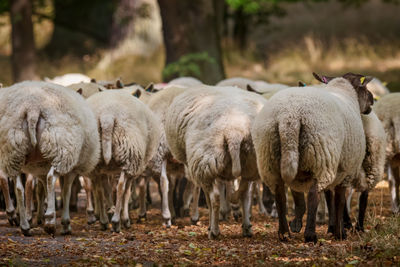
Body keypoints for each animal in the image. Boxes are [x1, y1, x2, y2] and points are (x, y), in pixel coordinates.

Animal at [0, 81, 99, 237]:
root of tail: (32, 108)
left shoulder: (41, 167)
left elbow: (45, 190)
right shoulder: (71, 168)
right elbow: (65, 191)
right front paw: (64, 223)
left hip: (13, 151)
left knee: (18, 187)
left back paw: (25, 225)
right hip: (61, 149)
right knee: (51, 179)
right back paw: (50, 223)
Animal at [86, 89, 162, 232]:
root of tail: (107, 116)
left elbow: (108, 190)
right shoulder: (133, 170)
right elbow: (126, 192)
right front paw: (124, 218)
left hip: (96, 162)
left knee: (98, 189)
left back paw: (104, 221)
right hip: (130, 155)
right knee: (121, 187)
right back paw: (116, 222)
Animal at [253, 73, 376, 243]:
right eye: (364, 87)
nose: (372, 100)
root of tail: (289, 117)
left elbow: (310, 198)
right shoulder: (345, 169)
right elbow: (339, 201)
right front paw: (340, 232)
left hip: (271, 158)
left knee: (280, 195)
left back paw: (284, 233)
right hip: (320, 158)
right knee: (313, 196)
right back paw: (310, 235)